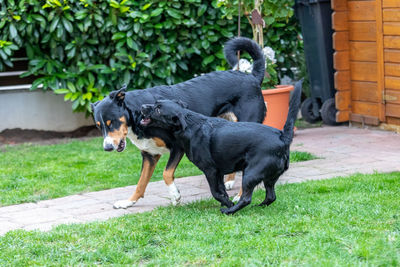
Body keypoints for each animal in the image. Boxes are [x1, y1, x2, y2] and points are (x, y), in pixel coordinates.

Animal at [90, 37, 266, 209]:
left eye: (112, 122)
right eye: (99, 126)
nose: (107, 148)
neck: (137, 114)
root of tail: (252, 77)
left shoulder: (177, 146)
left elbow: (166, 173)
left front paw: (175, 196)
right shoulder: (149, 154)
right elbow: (141, 183)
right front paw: (129, 202)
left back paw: (239, 195)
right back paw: (229, 181)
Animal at [141, 80, 304, 215]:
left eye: (158, 109)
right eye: (155, 103)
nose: (142, 106)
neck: (191, 124)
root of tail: (282, 137)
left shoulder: (210, 170)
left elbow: (215, 192)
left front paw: (228, 204)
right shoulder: (218, 173)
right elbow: (221, 191)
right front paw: (226, 201)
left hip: (250, 173)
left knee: (246, 198)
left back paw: (231, 211)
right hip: (269, 177)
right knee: (271, 196)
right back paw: (258, 207)